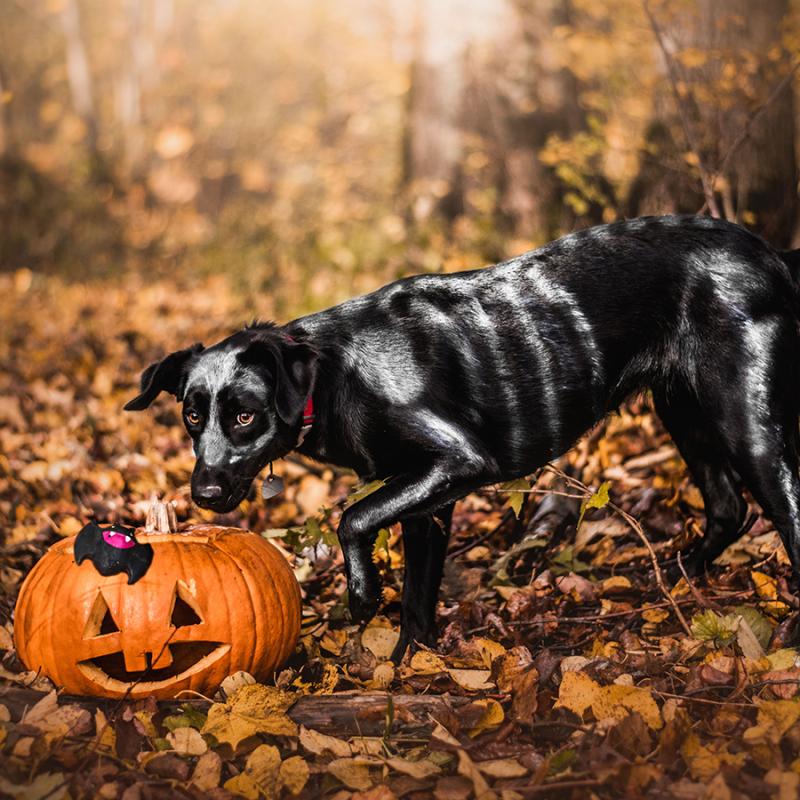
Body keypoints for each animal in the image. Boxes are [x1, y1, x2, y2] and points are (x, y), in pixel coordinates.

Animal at [123, 214, 800, 664]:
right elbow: (418, 597)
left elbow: (352, 518)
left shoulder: (460, 463)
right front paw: (406, 666)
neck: (339, 373)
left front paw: (362, 596)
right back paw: (675, 581)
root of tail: (770, 252)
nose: (204, 495)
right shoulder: (428, 499)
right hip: (683, 411)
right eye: (191, 416)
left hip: (746, 425)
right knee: (728, 509)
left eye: (244, 416)